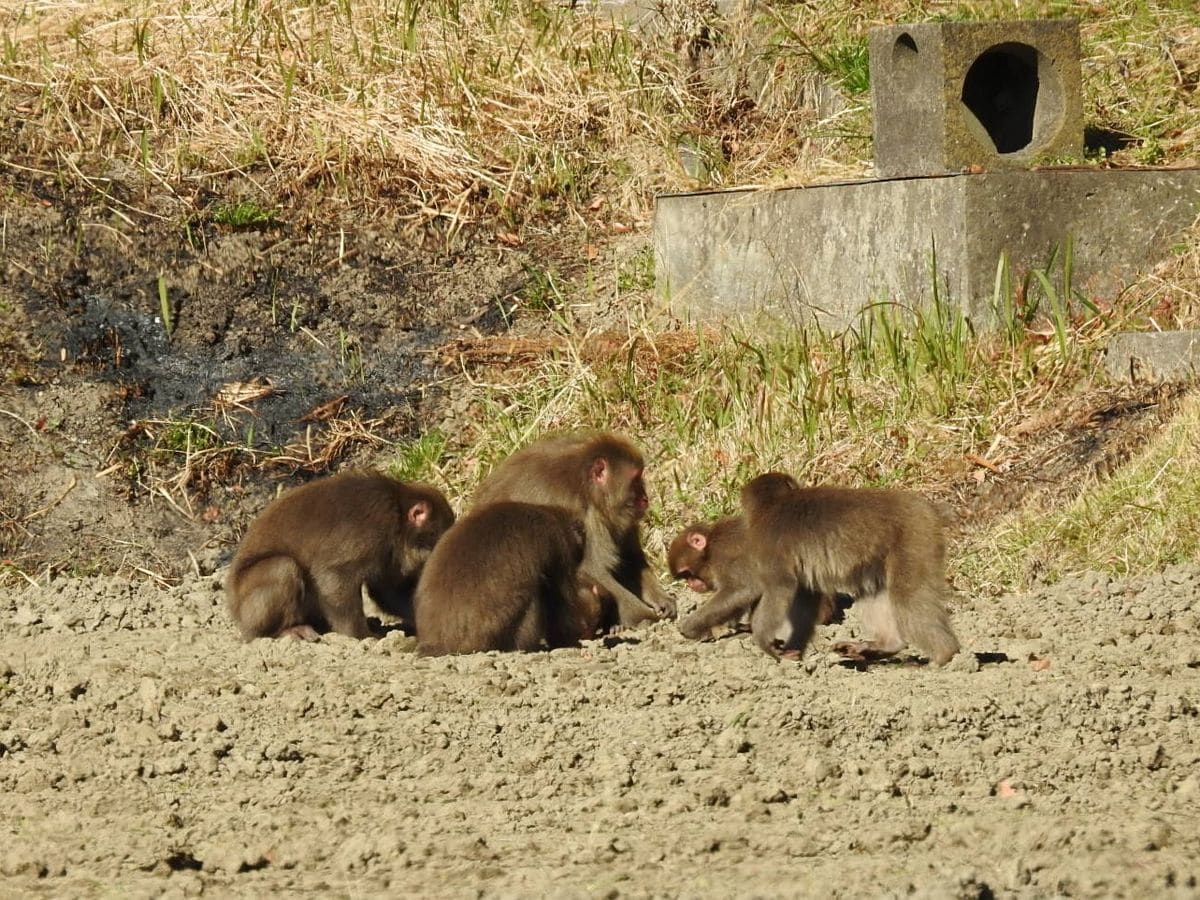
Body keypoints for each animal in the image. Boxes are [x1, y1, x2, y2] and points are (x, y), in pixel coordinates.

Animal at [225, 472, 453, 643]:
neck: (397, 512)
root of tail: (234, 610)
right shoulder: (372, 532)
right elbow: (333, 576)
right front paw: (362, 635)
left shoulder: (387, 551)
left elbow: (388, 591)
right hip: (251, 608)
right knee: (282, 566)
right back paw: (284, 631)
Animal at [470, 432, 676, 628]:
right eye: (635, 479)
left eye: (640, 476)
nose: (645, 498)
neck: (585, 487)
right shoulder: (581, 513)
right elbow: (590, 569)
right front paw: (643, 616)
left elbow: (628, 556)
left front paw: (661, 599)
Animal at [672, 513, 840, 643]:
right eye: (684, 576)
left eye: (687, 573)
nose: (690, 583)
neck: (710, 549)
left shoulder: (724, 556)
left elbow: (744, 589)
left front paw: (690, 627)